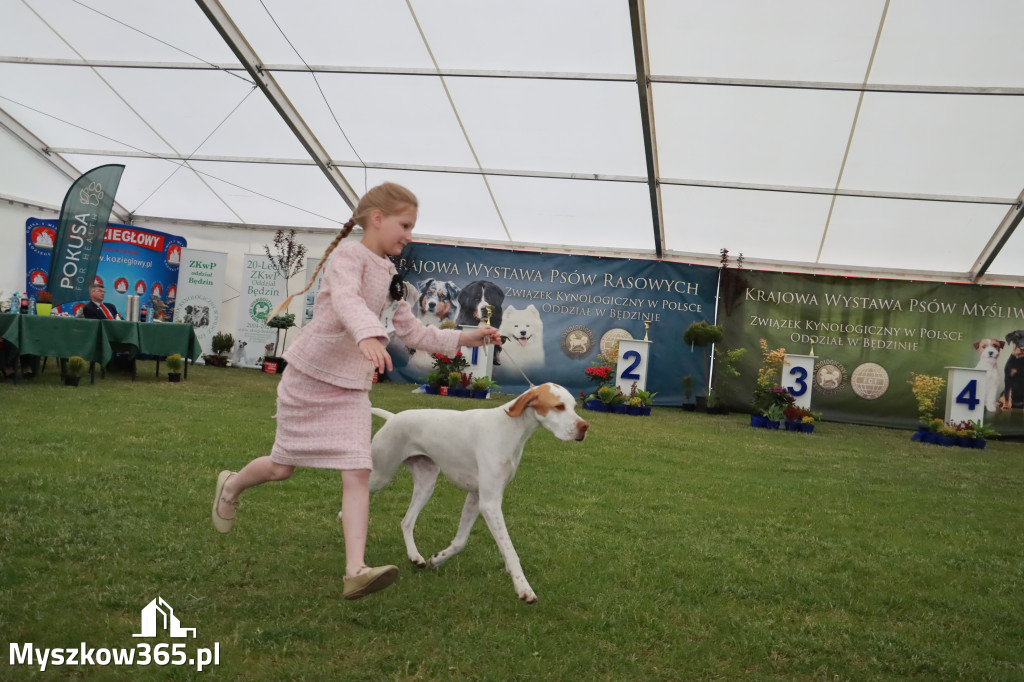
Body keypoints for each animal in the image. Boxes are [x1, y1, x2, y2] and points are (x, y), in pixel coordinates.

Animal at [364, 382, 589, 602]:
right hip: (381, 475)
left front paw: (437, 559)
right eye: (559, 406)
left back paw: (415, 556)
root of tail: (393, 417)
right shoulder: (490, 503)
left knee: (406, 521)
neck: (510, 428)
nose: (585, 427)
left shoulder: (476, 497)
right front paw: (523, 587)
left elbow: (460, 542)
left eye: (574, 407)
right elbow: (510, 550)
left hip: (426, 484)